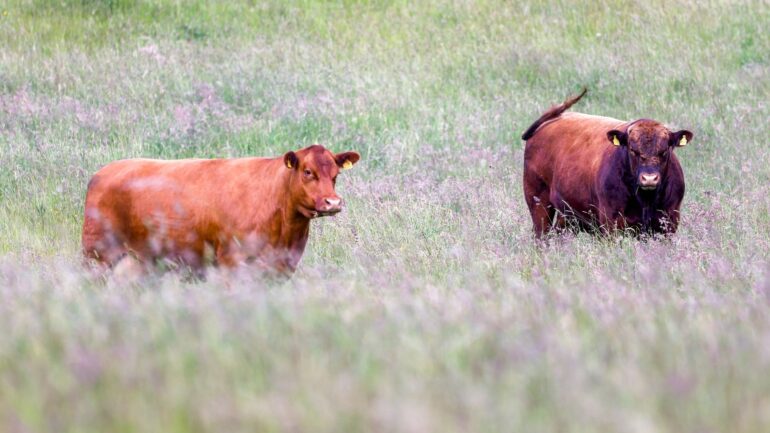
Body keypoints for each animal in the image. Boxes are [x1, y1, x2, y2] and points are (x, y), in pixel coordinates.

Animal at [82, 144, 360, 277]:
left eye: (335, 175)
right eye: (308, 172)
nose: (333, 202)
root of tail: (103, 172)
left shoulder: (283, 267)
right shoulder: (231, 262)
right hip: (97, 256)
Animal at [521, 89, 693, 237]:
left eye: (664, 151)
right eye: (633, 150)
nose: (649, 179)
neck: (645, 200)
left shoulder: (668, 222)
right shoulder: (611, 223)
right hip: (538, 203)